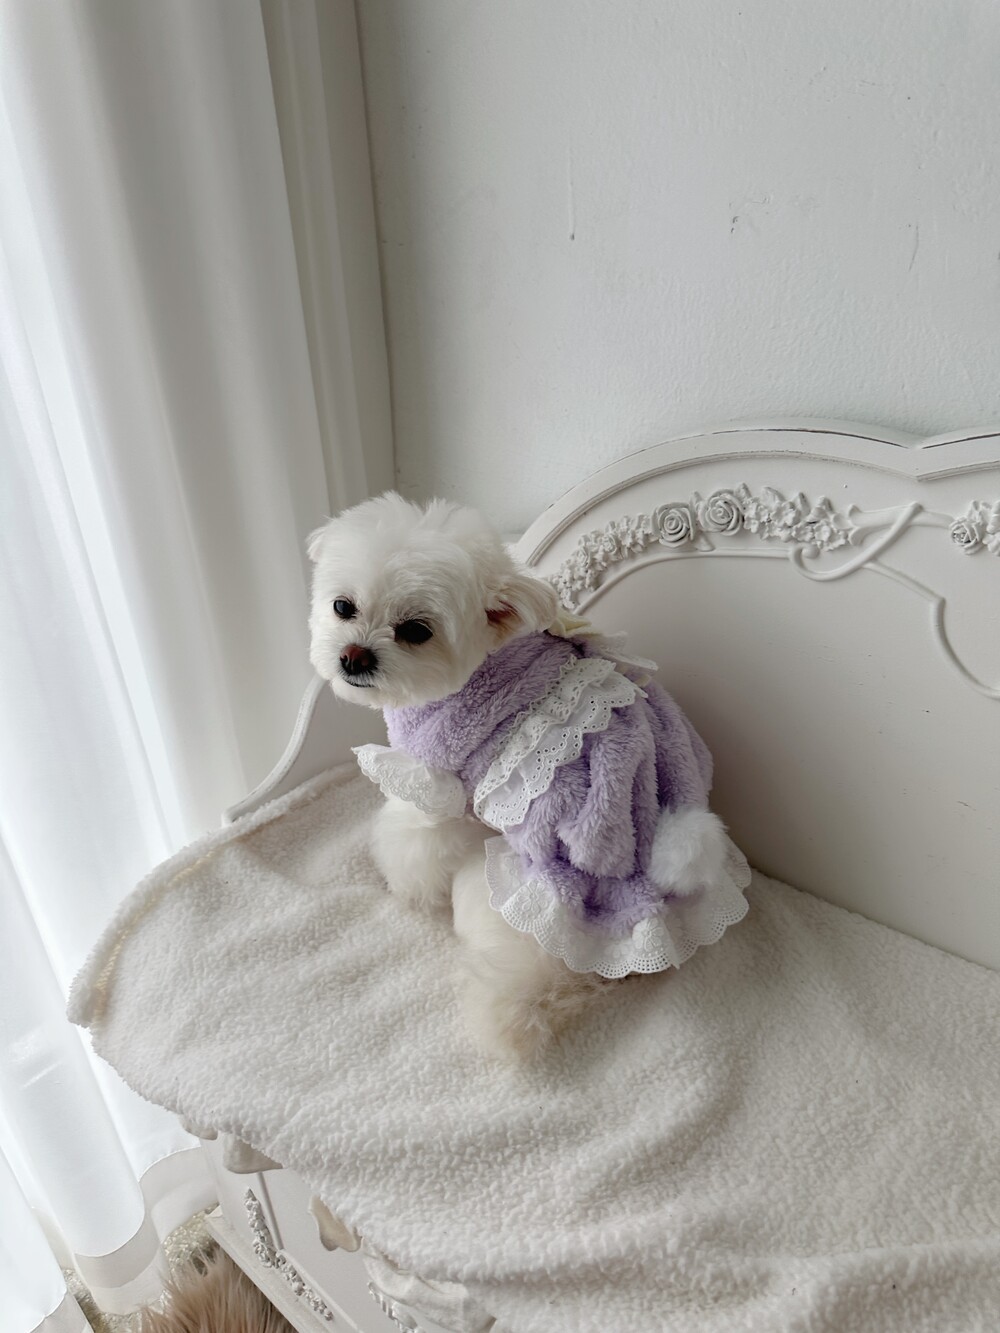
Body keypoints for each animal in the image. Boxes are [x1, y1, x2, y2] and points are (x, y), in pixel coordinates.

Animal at [308, 493, 748, 1056]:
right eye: (343, 607)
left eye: (416, 631)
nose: (353, 656)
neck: (479, 664)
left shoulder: (434, 777)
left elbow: (412, 838)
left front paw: (405, 888)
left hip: (502, 886)